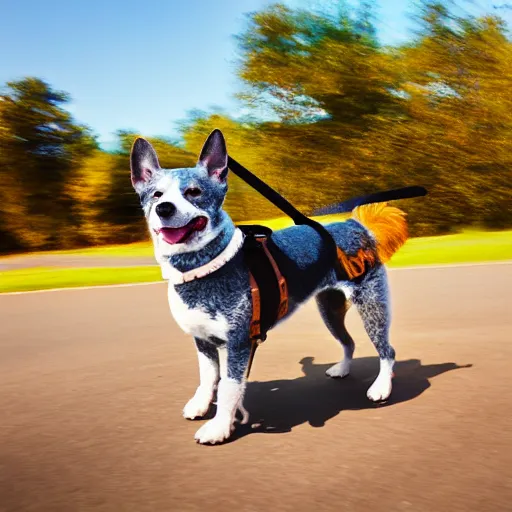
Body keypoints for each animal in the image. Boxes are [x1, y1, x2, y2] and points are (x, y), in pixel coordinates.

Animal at [131, 129, 408, 444]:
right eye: (156, 194)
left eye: (194, 192)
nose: (164, 208)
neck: (204, 269)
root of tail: (356, 226)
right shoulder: (202, 340)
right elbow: (207, 377)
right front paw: (200, 405)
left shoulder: (239, 341)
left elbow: (228, 386)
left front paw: (219, 427)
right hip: (330, 309)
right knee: (348, 341)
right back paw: (342, 369)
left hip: (372, 307)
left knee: (387, 351)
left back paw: (381, 387)